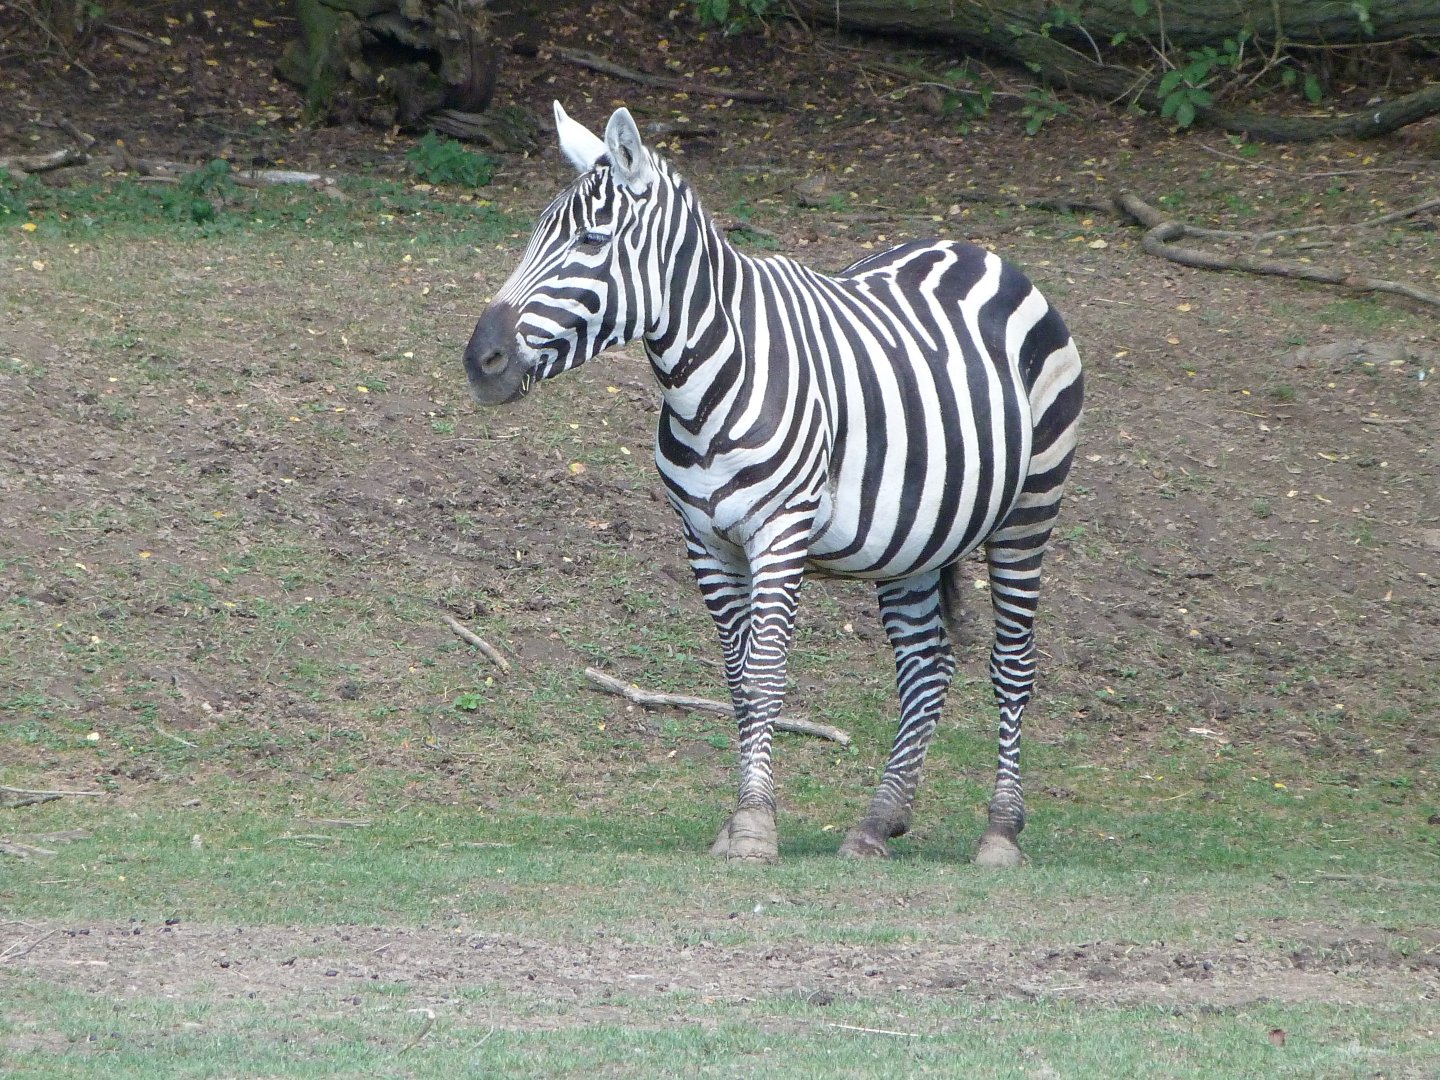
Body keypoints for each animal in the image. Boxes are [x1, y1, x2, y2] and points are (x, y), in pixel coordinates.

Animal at [463, 103, 1083, 866]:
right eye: (535, 235)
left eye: (591, 239)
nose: (480, 360)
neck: (710, 378)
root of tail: (977, 250)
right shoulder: (705, 541)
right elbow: (736, 682)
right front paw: (738, 820)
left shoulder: (779, 531)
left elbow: (764, 674)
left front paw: (755, 824)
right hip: (915, 539)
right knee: (925, 669)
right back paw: (878, 822)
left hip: (1031, 509)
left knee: (1012, 663)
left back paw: (1000, 830)